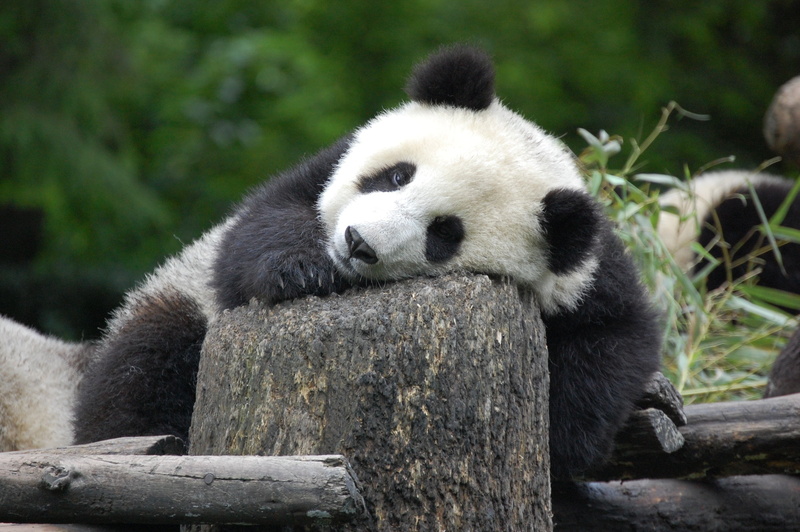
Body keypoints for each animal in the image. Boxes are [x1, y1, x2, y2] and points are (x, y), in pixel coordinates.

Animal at [26, 45, 662, 479]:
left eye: (444, 234)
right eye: (398, 175)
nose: (357, 243)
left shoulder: (588, 270)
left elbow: (616, 343)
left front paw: (556, 440)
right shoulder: (318, 170)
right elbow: (257, 230)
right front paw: (302, 269)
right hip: (176, 302)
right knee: (146, 365)